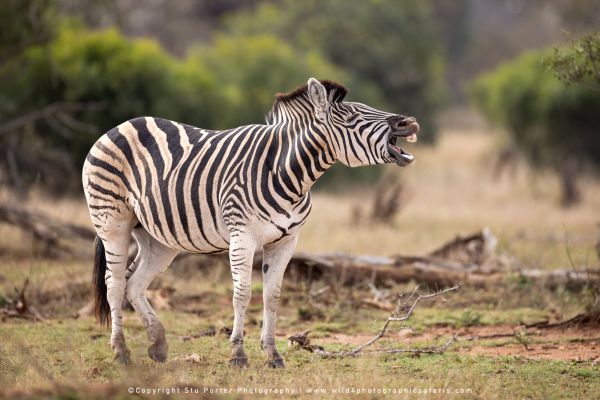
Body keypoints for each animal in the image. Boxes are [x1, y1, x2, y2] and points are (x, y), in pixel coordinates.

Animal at [82, 78, 420, 368]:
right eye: (351, 116)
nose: (409, 122)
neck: (287, 173)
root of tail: (122, 125)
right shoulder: (241, 236)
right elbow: (242, 294)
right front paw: (238, 355)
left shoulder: (286, 241)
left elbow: (273, 295)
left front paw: (273, 355)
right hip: (112, 220)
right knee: (115, 283)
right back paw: (121, 352)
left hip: (159, 238)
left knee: (135, 283)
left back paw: (158, 345)